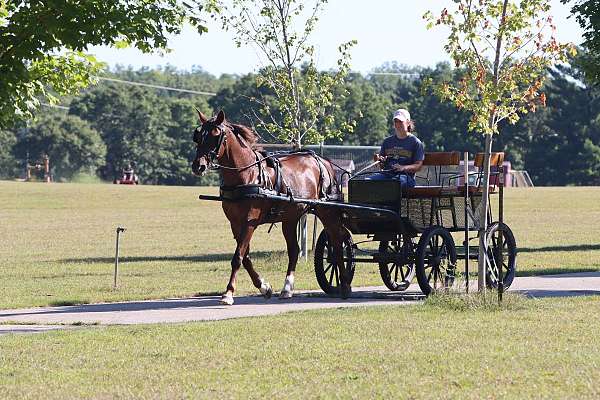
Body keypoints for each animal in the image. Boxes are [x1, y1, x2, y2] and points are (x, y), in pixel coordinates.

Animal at [192, 109, 352, 304]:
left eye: (216, 135)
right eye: (198, 136)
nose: (198, 166)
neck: (247, 174)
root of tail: (324, 161)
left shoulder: (250, 221)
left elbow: (238, 257)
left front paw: (228, 293)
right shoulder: (235, 223)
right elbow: (245, 256)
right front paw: (264, 287)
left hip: (326, 211)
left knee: (337, 243)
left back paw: (344, 285)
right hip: (290, 218)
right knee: (294, 250)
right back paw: (287, 289)